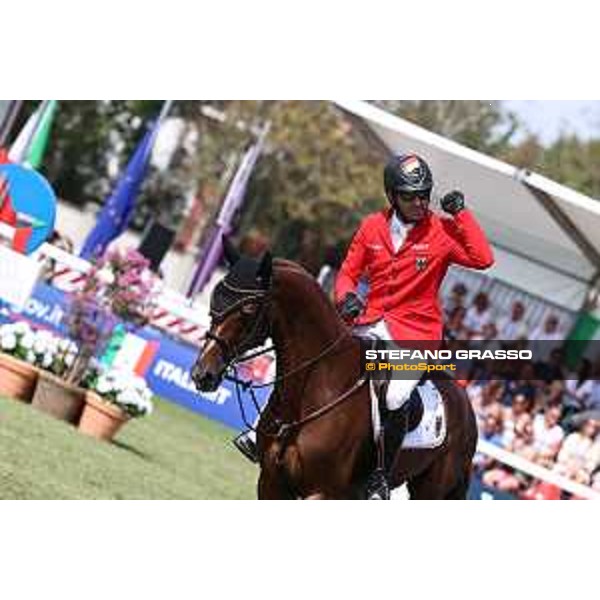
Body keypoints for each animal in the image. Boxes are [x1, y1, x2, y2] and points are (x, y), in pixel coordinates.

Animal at [192, 241, 478, 500]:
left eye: (248, 308)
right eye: (216, 297)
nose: (202, 374)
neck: (318, 386)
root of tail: (464, 399)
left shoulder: (322, 493)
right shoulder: (272, 483)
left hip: (430, 490)